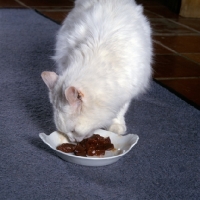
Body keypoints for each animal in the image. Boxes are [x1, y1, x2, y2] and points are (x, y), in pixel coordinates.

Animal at [41, 0, 152, 142]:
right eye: (66, 133)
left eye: (73, 131)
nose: (73, 141)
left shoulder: (128, 90)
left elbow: (121, 110)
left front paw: (116, 125)